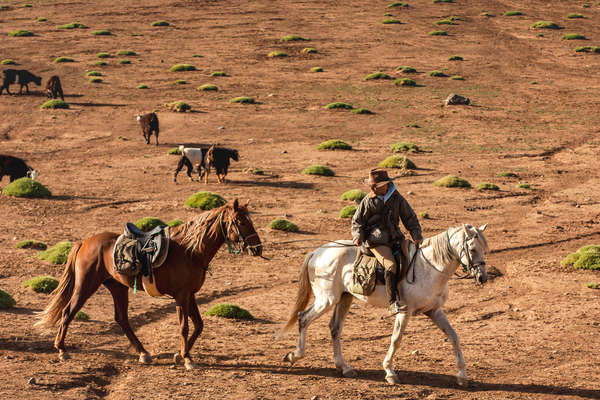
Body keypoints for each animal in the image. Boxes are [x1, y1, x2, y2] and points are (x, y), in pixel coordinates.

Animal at [36, 198, 262, 370]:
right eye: (241, 221)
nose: (258, 248)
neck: (190, 251)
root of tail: (84, 242)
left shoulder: (190, 294)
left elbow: (199, 325)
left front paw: (180, 354)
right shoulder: (181, 295)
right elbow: (185, 326)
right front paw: (187, 358)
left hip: (117, 287)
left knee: (122, 319)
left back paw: (143, 353)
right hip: (86, 285)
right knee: (68, 311)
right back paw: (62, 350)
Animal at [282, 225, 488, 384]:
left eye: (484, 248)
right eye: (472, 248)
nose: (483, 278)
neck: (429, 267)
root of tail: (317, 252)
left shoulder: (434, 311)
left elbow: (454, 336)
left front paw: (462, 375)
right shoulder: (404, 312)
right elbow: (396, 340)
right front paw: (389, 372)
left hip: (345, 298)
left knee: (334, 328)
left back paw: (344, 367)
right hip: (327, 299)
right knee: (303, 318)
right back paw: (294, 355)